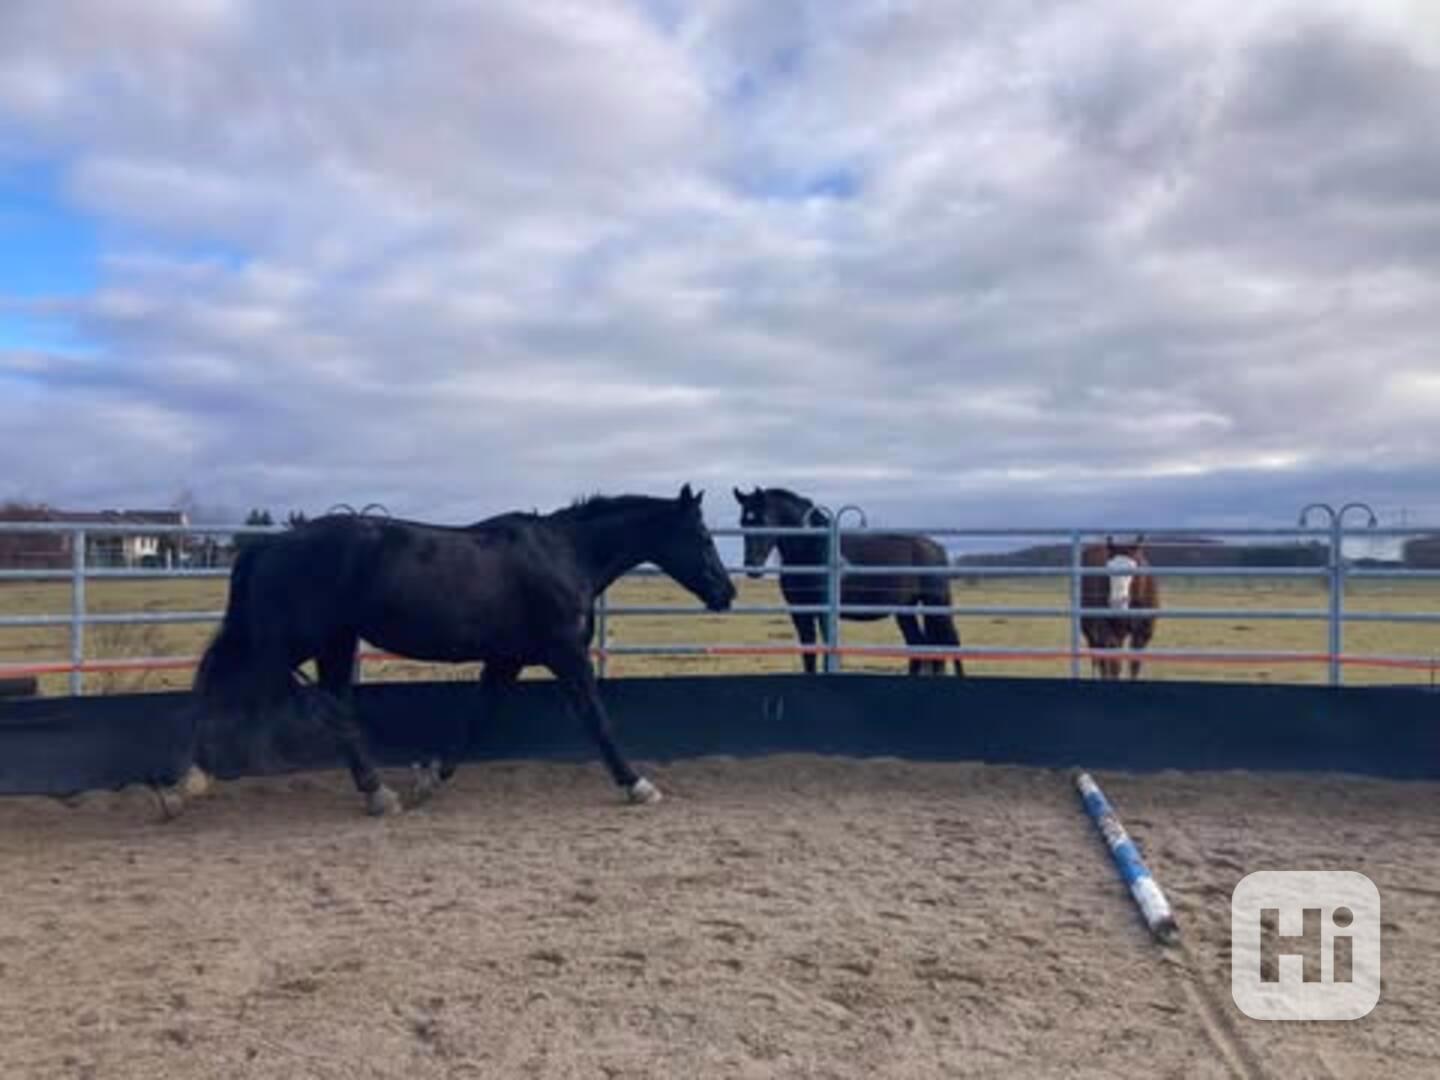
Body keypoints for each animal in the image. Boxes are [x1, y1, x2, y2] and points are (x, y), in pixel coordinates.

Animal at [164, 486, 737, 817]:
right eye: (703, 535)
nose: (726, 592)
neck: (562, 554)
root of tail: (268, 545)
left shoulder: (507, 659)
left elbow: (477, 721)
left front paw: (428, 780)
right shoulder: (564, 653)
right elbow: (597, 719)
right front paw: (638, 785)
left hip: (332, 642)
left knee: (324, 705)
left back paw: (378, 793)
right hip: (285, 642)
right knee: (220, 690)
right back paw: (178, 788)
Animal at [737, 489, 961, 676]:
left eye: (763, 520)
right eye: (743, 523)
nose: (752, 566)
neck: (813, 548)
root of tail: (936, 547)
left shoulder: (824, 612)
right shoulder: (800, 611)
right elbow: (809, 652)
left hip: (936, 604)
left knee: (951, 643)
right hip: (905, 609)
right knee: (918, 645)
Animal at [1082, 538, 1157, 679]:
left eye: (1133, 571)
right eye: (1107, 570)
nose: (1117, 602)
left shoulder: (1142, 634)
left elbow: (1134, 665)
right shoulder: (1107, 633)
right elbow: (1113, 666)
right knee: (1098, 660)